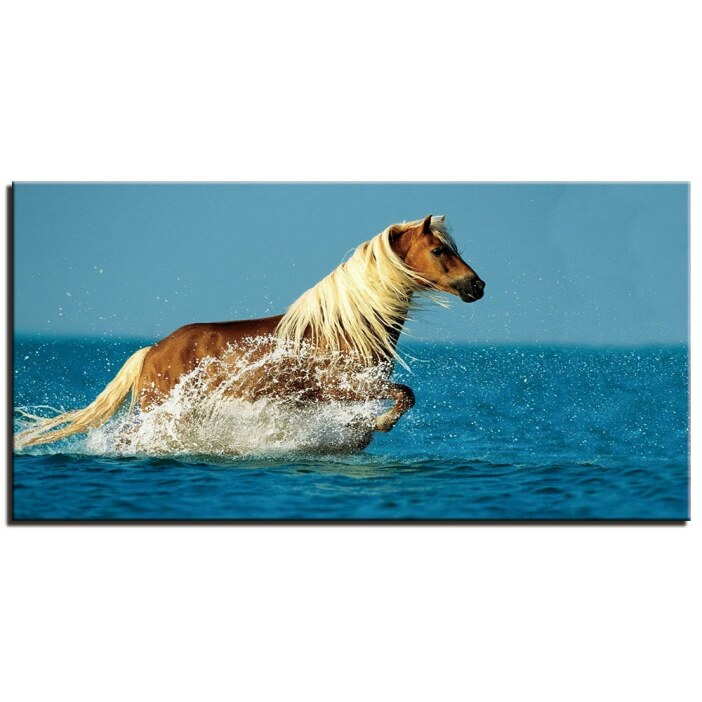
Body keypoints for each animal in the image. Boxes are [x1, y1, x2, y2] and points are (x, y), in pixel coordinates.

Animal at [14, 215, 484, 450]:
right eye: (438, 250)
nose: (477, 286)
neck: (345, 329)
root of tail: (151, 351)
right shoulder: (346, 387)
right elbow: (404, 396)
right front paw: (379, 426)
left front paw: (363, 434)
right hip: (159, 409)